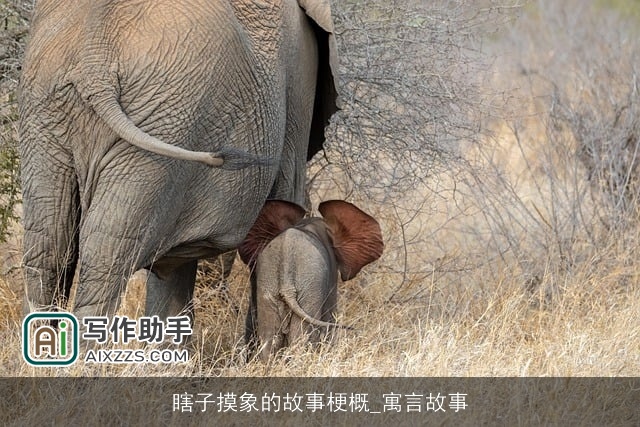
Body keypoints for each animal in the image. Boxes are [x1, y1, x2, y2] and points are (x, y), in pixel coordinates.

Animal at [18, 0, 339, 324]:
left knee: (49, 249)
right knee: (105, 257)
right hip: (165, 123)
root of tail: (95, 60)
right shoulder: (300, 74)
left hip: (51, 112)